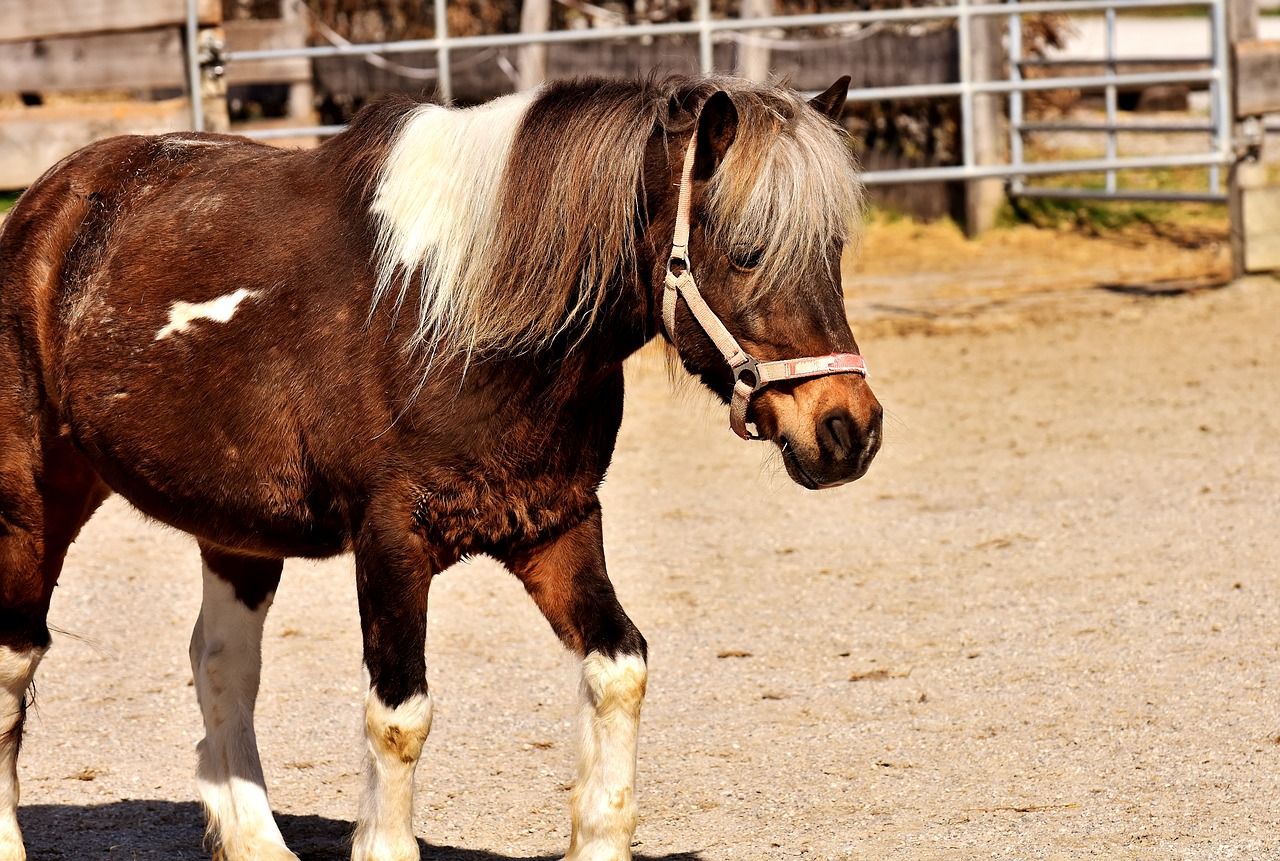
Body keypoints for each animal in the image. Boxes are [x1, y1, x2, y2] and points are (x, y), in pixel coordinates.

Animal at [0, 75, 880, 859]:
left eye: (833, 249)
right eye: (747, 251)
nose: (849, 429)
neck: (460, 317)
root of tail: (47, 204)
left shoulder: (556, 524)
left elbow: (621, 665)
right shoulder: (392, 541)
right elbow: (399, 717)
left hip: (238, 532)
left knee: (222, 668)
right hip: (33, 500)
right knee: (15, 664)